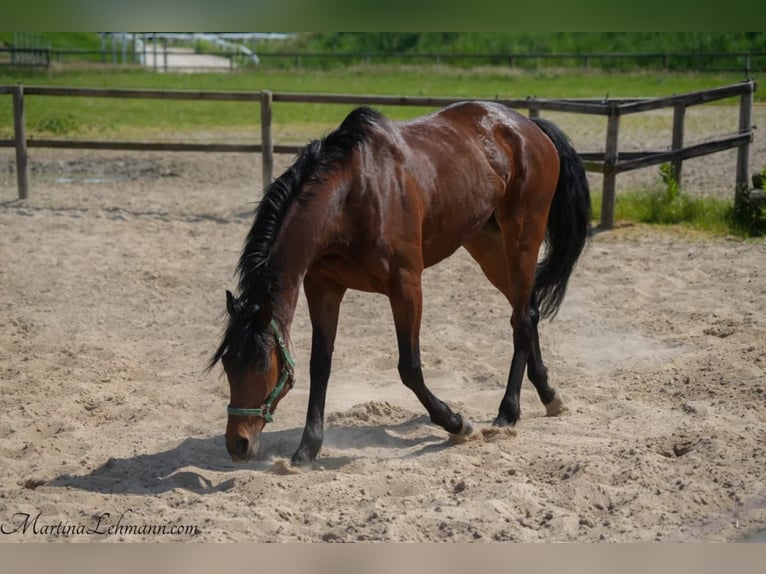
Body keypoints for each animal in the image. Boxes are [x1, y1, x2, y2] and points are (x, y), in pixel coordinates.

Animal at [210, 101, 592, 466]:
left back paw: (508, 412)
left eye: (261, 364)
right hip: (487, 244)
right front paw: (307, 448)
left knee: (523, 318)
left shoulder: (406, 286)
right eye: (227, 364)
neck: (351, 196)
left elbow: (409, 367)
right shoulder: (323, 288)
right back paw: (548, 394)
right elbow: (320, 365)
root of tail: (527, 126)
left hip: (523, 238)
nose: (237, 444)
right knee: (526, 312)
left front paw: (457, 423)